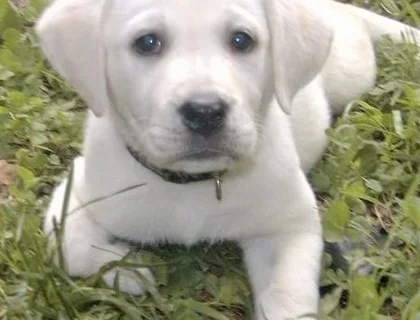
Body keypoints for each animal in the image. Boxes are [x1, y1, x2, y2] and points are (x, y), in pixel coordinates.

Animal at [36, 1, 420, 318]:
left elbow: (287, 297)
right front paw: (129, 270)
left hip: (353, 72)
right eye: (147, 42)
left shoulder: (289, 226)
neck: (194, 184)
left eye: (241, 40)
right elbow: (69, 246)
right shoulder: (77, 190)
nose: (205, 112)